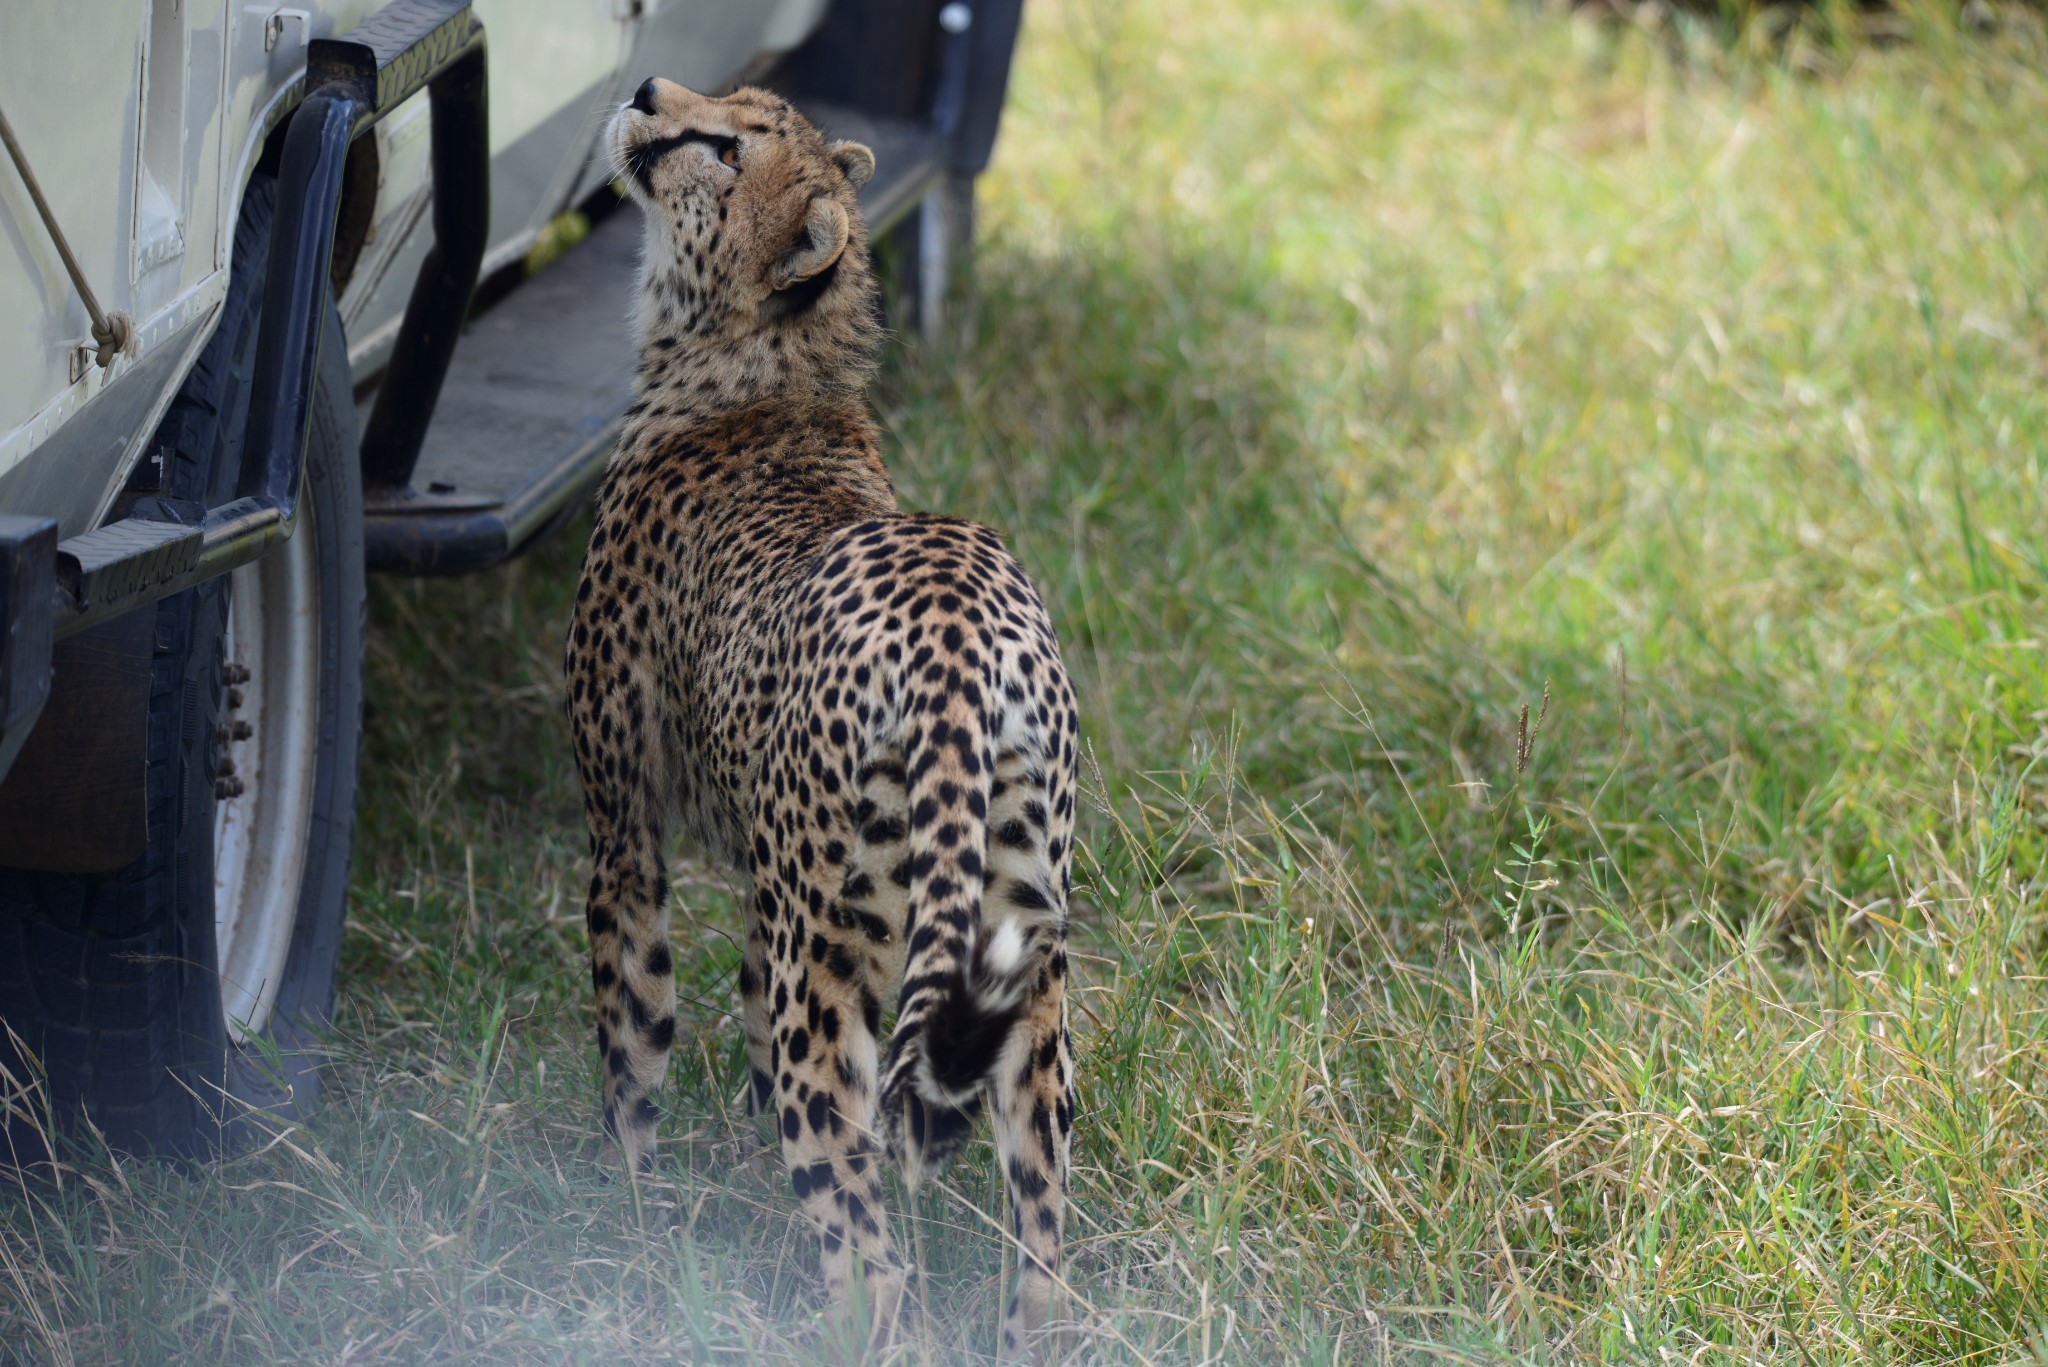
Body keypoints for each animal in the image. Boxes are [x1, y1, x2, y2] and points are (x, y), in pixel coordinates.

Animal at [561, 77, 1073, 1360]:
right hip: (1019, 968)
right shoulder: (774, 882)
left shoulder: (626, 834)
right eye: (724, 108)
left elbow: (633, 1033)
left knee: (868, 1245)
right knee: (1042, 1240)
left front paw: (628, 1208)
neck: (761, 372)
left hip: (831, 981)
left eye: (722, 142)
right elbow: (735, 1026)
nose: (644, 92)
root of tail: (956, 631)